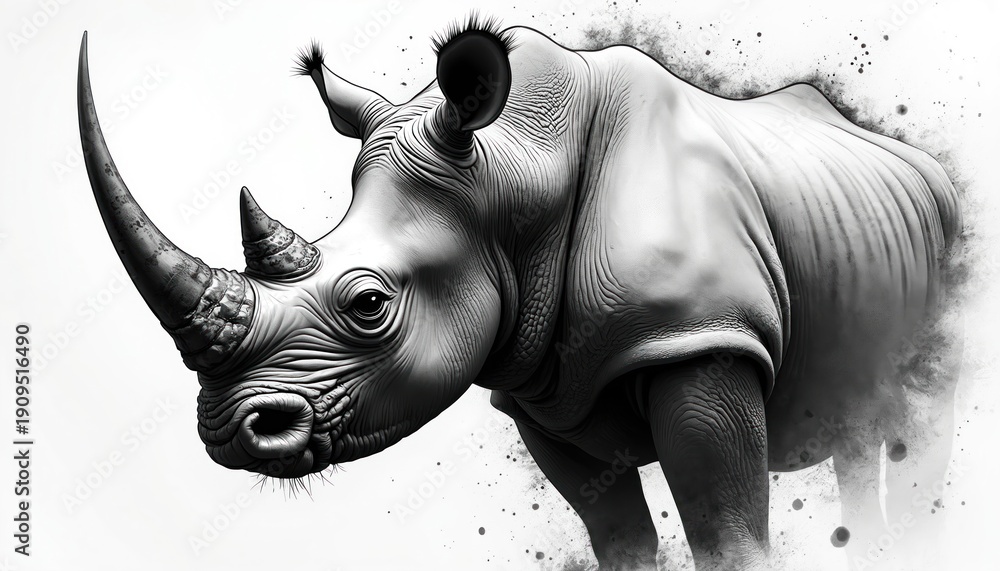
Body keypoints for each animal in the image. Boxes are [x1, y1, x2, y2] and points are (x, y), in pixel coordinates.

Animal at [78, 18, 962, 570]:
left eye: (369, 305)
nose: (232, 430)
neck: (515, 176)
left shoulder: (699, 332)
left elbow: (727, 535)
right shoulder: (540, 390)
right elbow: (619, 539)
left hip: (951, 243)